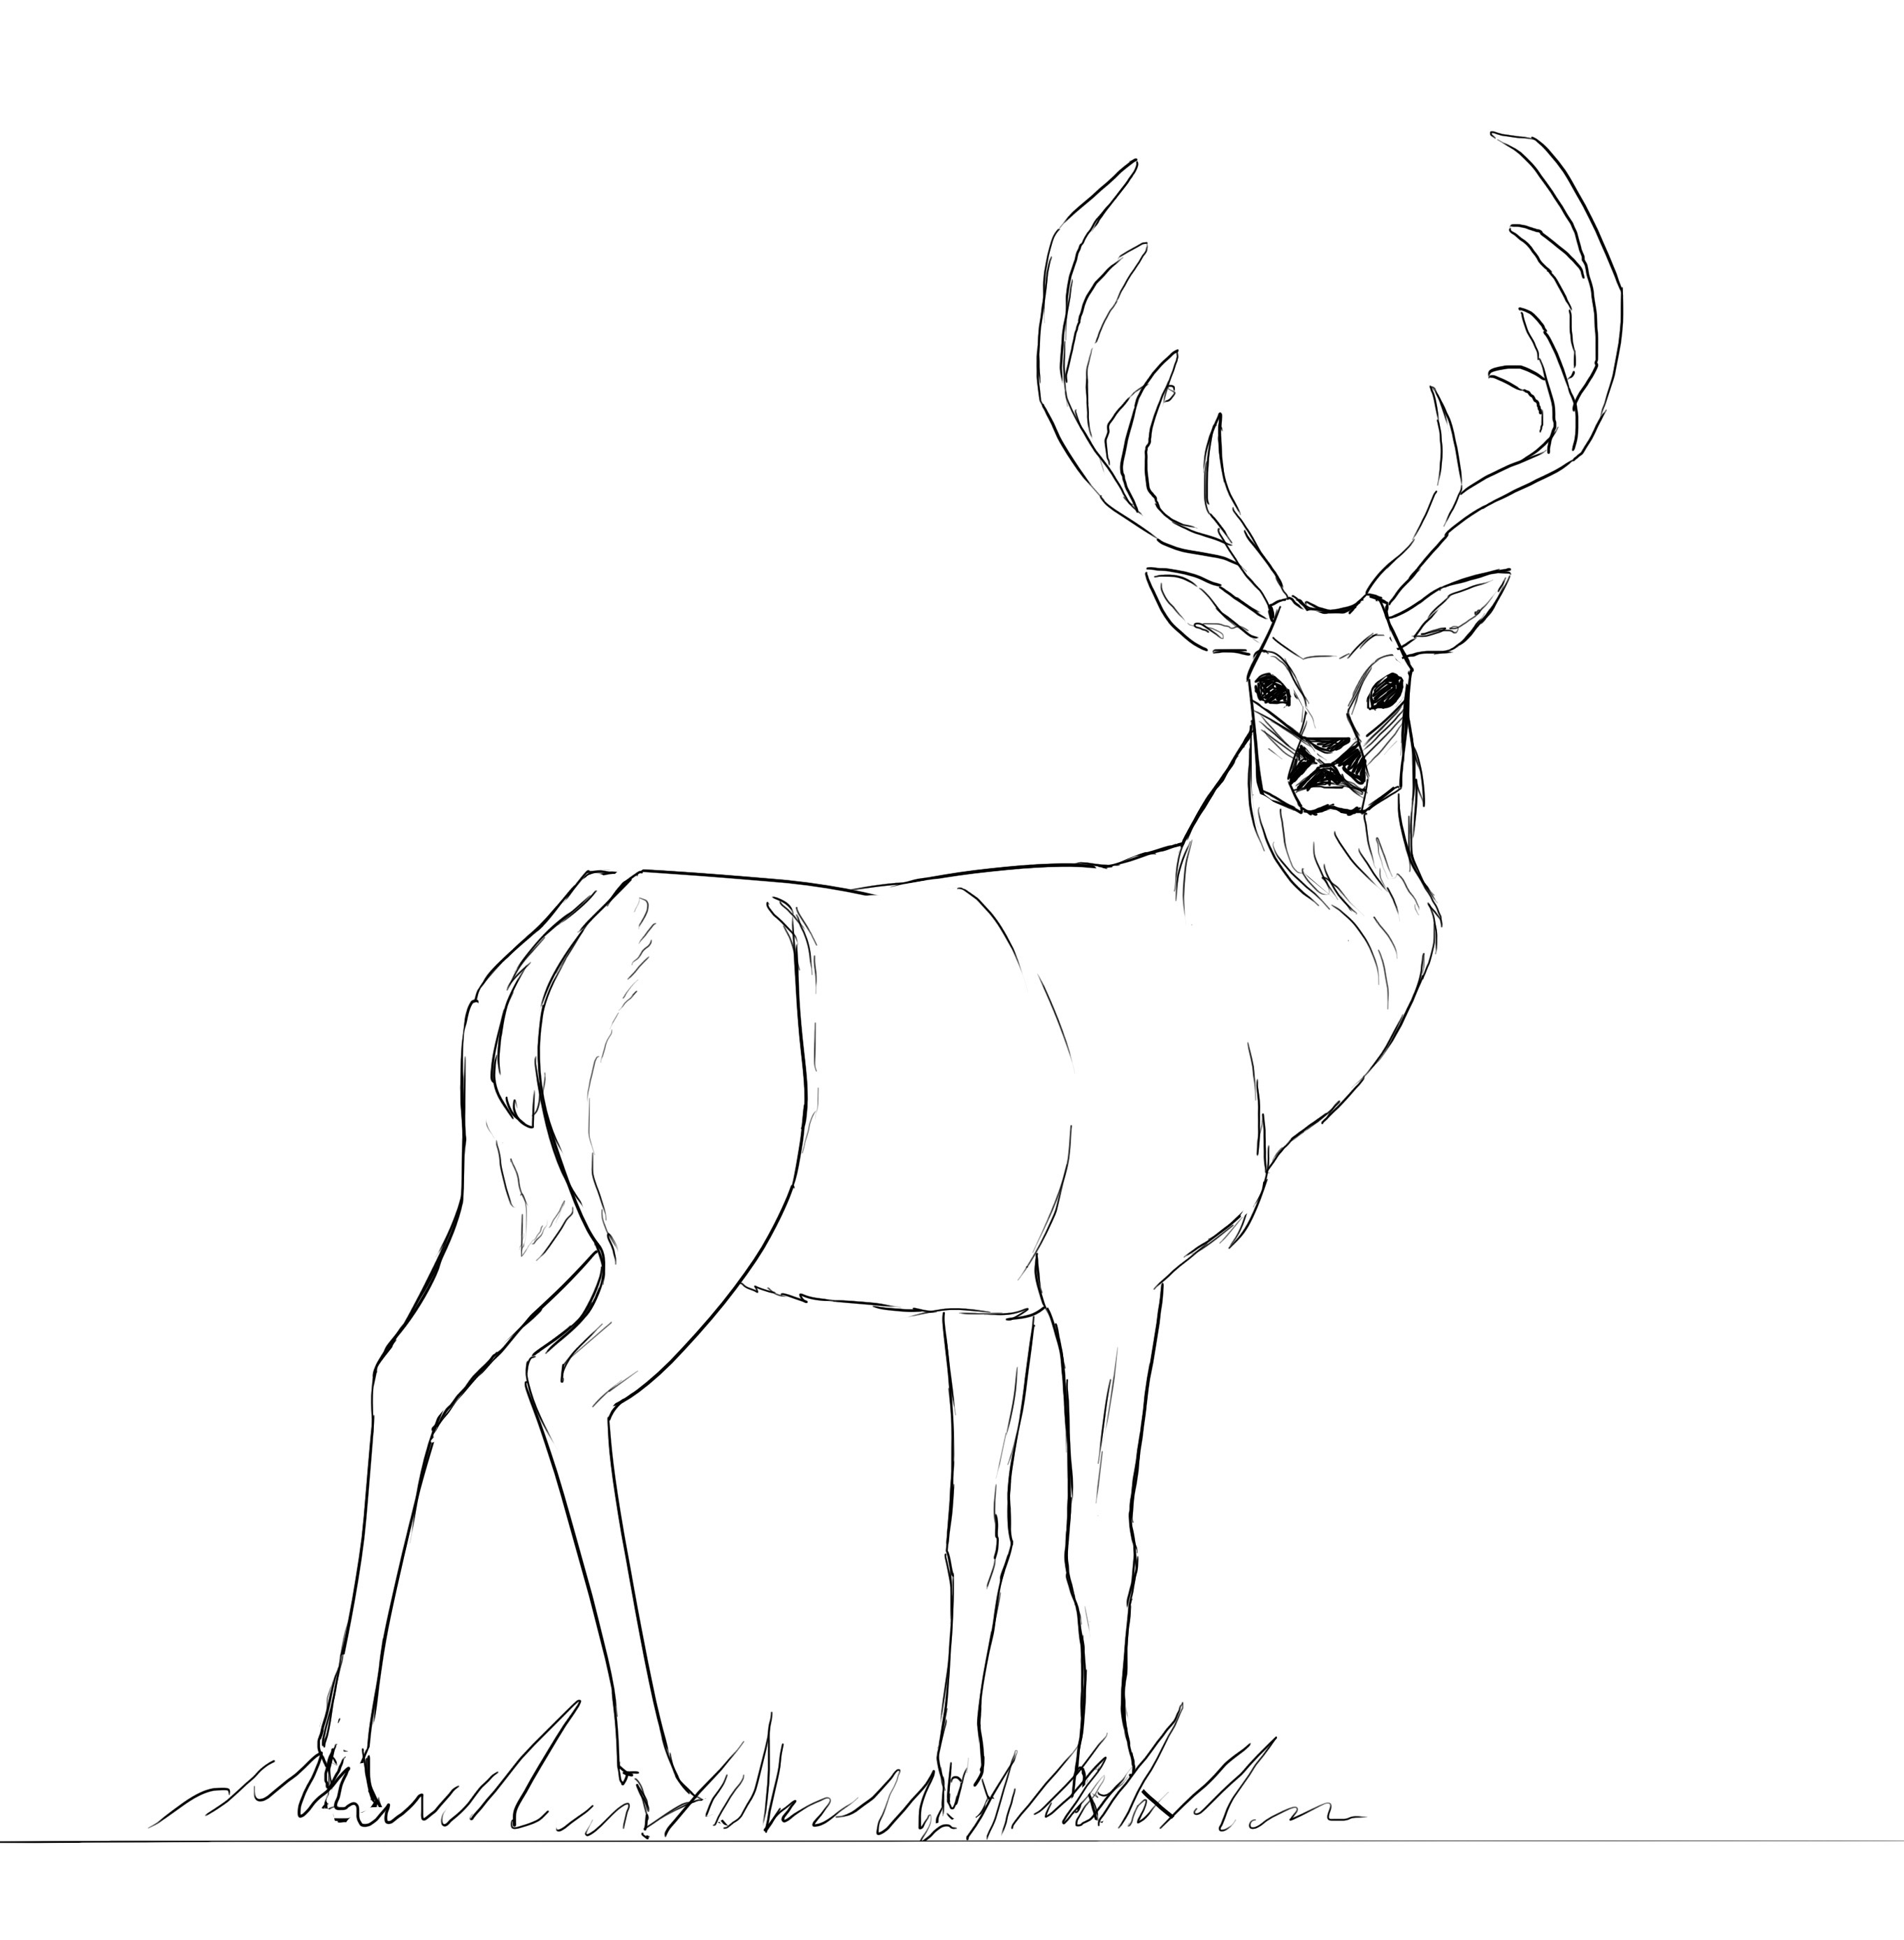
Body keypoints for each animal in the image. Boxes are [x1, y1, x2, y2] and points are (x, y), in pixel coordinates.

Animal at [316, 132, 1622, 1836]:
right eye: (1263, 679)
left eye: (1395, 680)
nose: (1329, 757)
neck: (1239, 1015)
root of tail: (558, 944)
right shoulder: (1109, 1255)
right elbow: (1099, 1531)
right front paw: (1110, 1782)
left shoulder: (977, 1291)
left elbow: (969, 1532)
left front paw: (950, 1784)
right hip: (685, 1210)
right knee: (566, 1387)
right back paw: (658, 1770)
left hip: (515, 1185)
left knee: (406, 1370)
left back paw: (348, 1764)